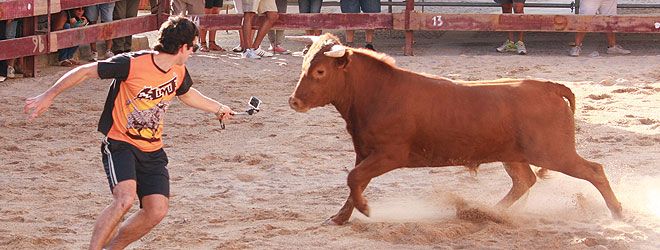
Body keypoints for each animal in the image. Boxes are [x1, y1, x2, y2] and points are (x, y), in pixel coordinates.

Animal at [286, 32, 620, 225]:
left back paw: (617, 213)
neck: (377, 92)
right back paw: (489, 212)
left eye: (320, 71)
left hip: (554, 153)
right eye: (303, 66)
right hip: (514, 155)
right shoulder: (365, 153)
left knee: (594, 171)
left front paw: (365, 210)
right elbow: (356, 181)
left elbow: (354, 178)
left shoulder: (389, 155)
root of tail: (549, 87)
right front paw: (340, 217)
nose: (294, 101)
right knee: (524, 181)